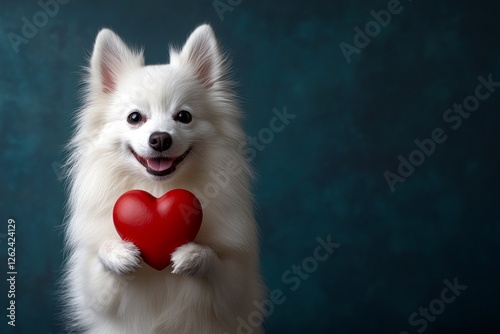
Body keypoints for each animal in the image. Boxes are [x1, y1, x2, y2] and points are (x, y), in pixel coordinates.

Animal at [61, 24, 266, 332]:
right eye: (134, 118)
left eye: (184, 116)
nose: (160, 138)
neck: (158, 190)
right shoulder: (94, 290)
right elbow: (98, 266)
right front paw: (118, 253)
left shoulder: (234, 285)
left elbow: (216, 264)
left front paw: (193, 254)